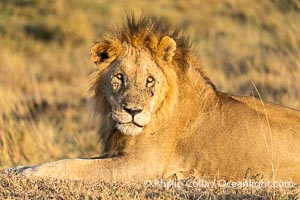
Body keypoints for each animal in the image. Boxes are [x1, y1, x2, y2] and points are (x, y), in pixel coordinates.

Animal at [9, 14, 300, 183]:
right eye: (119, 77)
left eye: (150, 80)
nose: (132, 111)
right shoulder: (116, 153)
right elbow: (75, 159)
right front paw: (18, 167)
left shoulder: (141, 166)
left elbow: (73, 165)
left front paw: (29, 172)